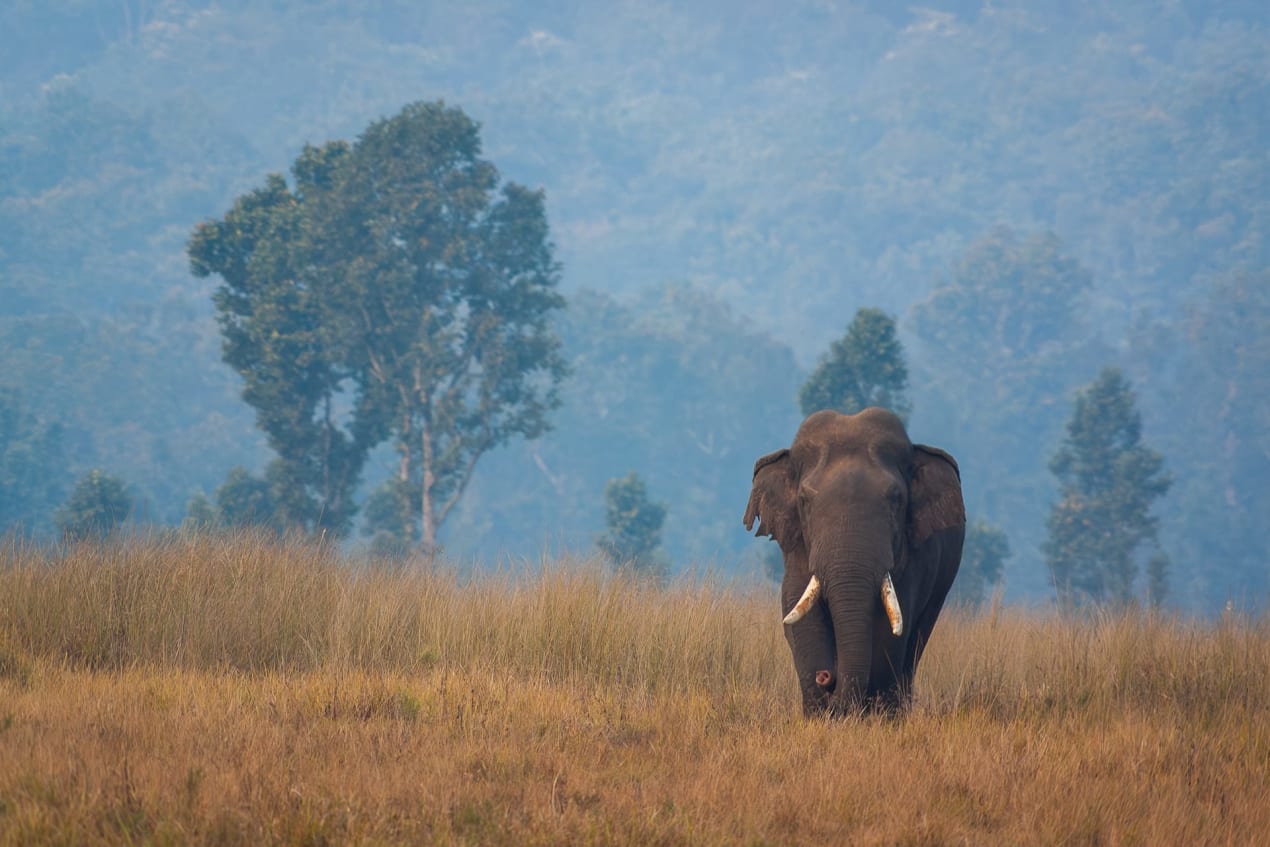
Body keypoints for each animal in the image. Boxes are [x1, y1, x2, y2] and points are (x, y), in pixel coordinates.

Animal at [744, 407, 965, 717]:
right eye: (804, 500)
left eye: (897, 499)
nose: (826, 677)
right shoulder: (797, 545)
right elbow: (799, 612)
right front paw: (819, 714)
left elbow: (891, 628)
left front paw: (868, 714)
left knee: (916, 640)